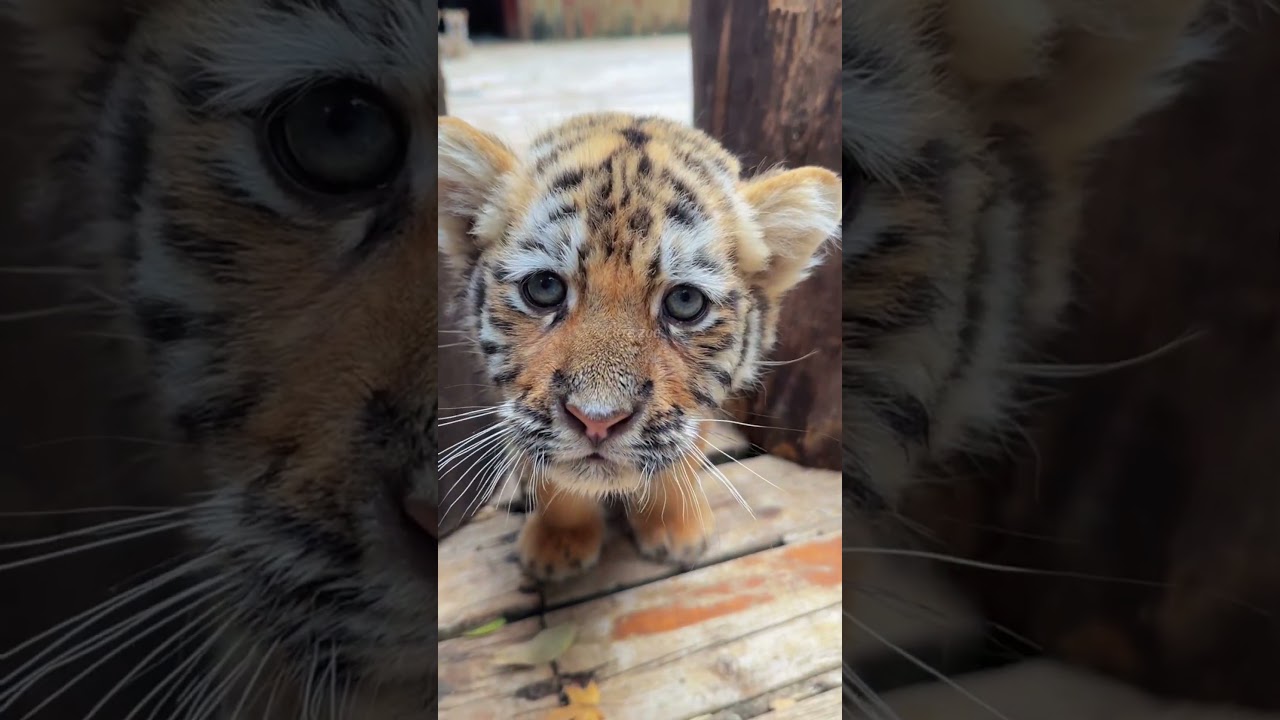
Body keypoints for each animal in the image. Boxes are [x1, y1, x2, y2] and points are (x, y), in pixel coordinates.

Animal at [437, 112, 840, 581]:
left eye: (684, 302)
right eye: (544, 288)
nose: (597, 421)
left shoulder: (695, 412)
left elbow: (679, 460)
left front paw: (676, 531)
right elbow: (552, 476)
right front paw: (558, 542)